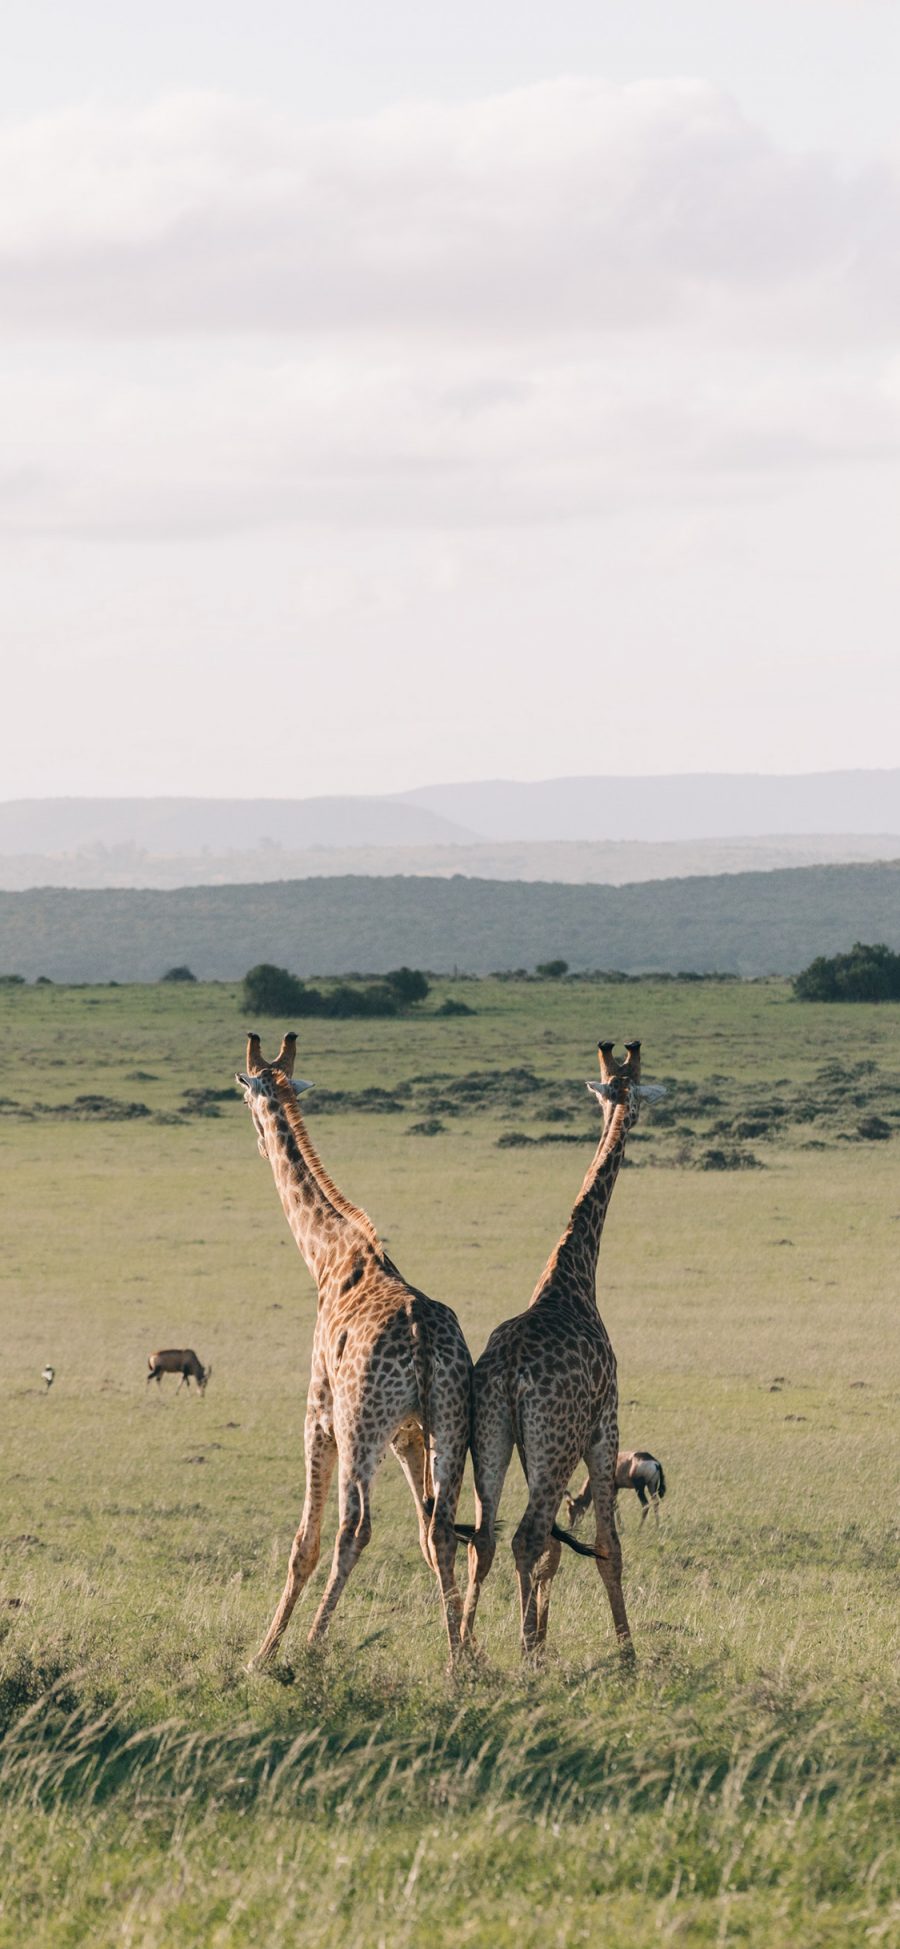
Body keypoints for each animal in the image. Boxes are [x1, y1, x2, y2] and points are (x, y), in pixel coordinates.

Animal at [235, 1029, 475, 1668]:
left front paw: (262, 1654)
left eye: (244, 1099)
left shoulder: (319, 1415)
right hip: (449, 1425)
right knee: (442, 1527)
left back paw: (311, 1650)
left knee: (354, 1528)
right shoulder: (409, 1434)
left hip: (360, 1426)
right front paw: (469, 1649)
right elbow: (428, 1533)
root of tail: (419, 1338)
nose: (258, 1143)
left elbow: (303, 1543)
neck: (327, 1255)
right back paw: (458, 1662)